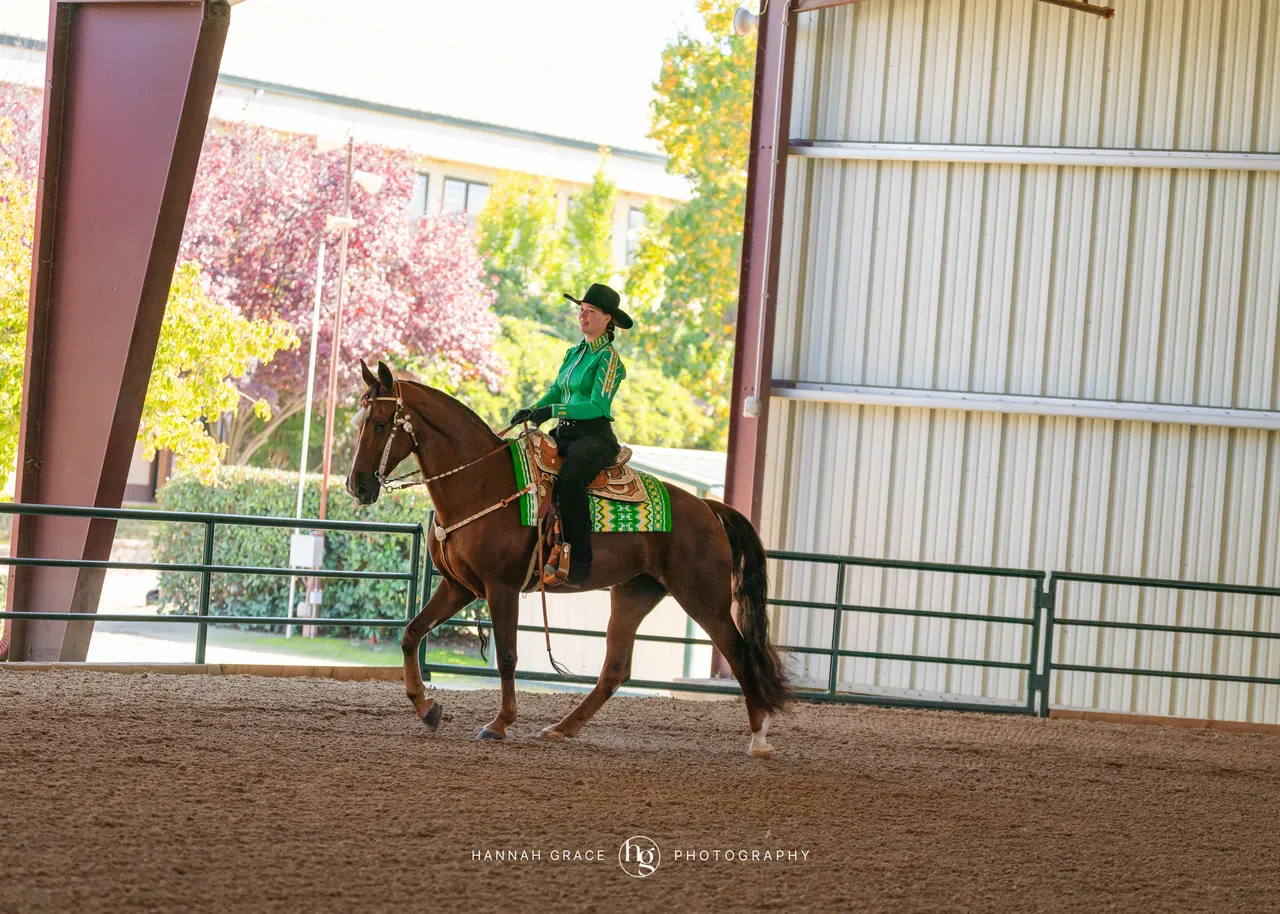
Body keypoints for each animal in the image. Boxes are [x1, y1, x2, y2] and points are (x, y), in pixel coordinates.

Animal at [345, 360, 791, 757]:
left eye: (381, 423)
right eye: (359, 420)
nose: (357, 486)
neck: (481, 483)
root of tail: (708, 508)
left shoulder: (501, 587)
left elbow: (507, 656)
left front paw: (499, 724)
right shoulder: (459, 587)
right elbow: (411, 634)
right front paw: (427, 709)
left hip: (703, 598)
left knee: (740, 654)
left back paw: (759, 739)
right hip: (634, 593)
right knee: (615, 670)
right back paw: (561, 728)